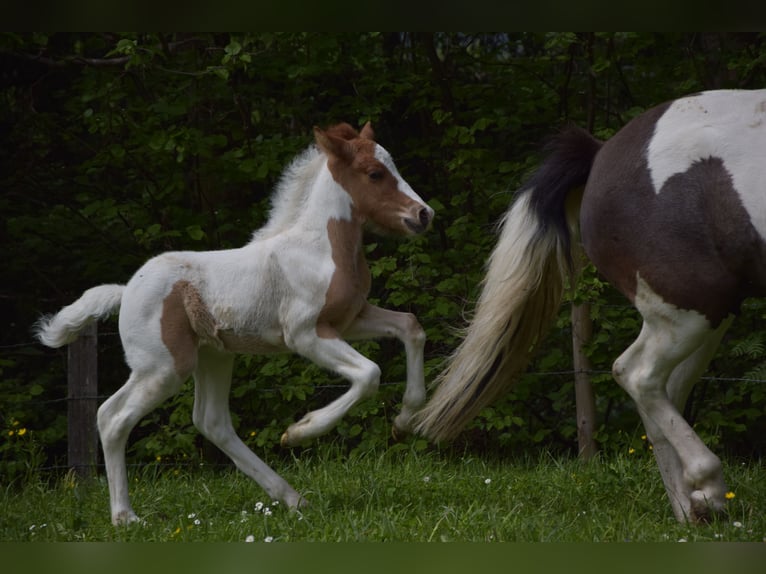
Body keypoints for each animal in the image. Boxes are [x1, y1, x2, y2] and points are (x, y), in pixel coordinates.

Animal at [39, 122, 436, 528]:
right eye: (374, 173)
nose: (424, 214)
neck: (320, 250)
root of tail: (126, 291)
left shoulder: (351, 319)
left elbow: (411, 327)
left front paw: (405, 420)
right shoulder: (305, 334)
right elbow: (369, 373)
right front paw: (299, 432)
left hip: (213, 357)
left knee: (211, 421)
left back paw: (292, 499)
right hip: (163, 367)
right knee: (113, 418)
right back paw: (125, 516)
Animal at [416, 88, 766, 524]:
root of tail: (601, 152)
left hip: (704, 315)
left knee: (664, 390)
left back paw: (691, 510)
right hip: (689, 308)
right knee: (637, 374)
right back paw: (709, 488)